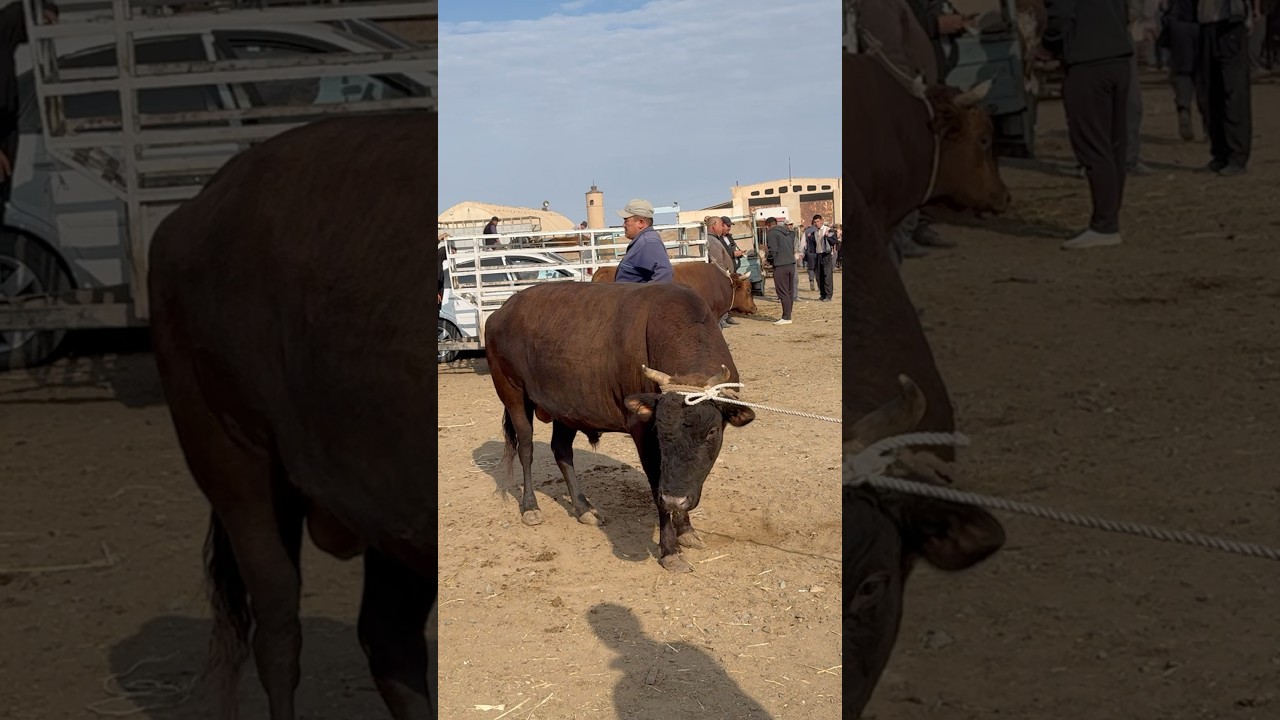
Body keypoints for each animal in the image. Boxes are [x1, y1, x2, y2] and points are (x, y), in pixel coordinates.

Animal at [483, 281, 756, 573]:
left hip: (566, 409)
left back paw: (584, 508)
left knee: (561, 451)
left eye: (712, 432)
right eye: (659, 431)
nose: (675, 500)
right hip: (512, 394)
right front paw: (670, 550)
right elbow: (656, 485)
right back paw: (531, 507)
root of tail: (501, 312)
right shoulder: (642, 433)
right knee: (526, 448)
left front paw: (686, 530)